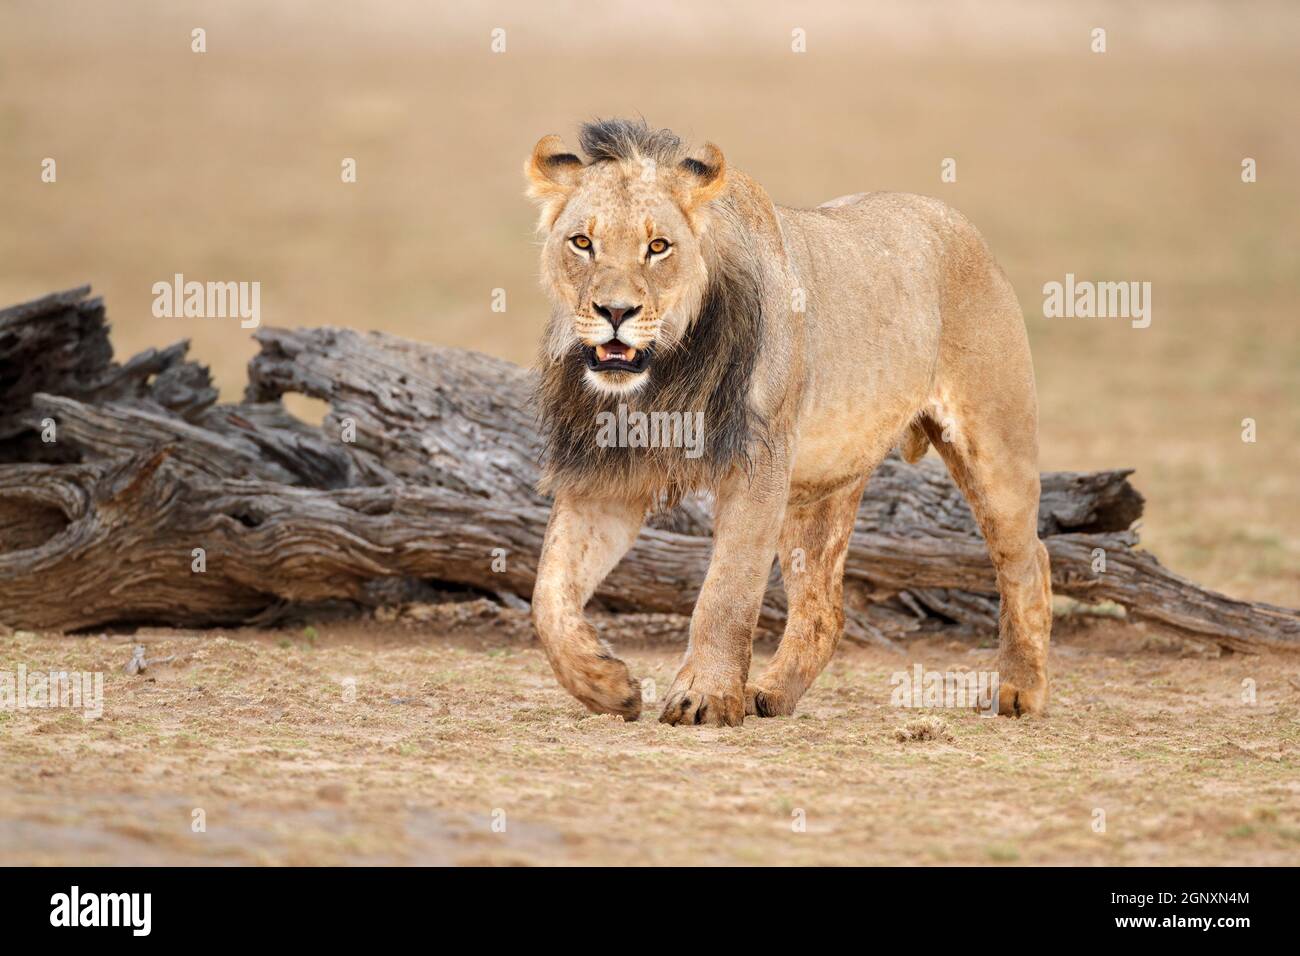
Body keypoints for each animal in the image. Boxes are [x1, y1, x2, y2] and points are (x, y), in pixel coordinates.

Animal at [526, 119, 1052, 726]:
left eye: (658, 247)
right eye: (581, 243)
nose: (615, 313)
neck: (661, 378)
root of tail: (958, 222)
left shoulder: (759, 466)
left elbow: (726, 591)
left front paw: (704, 697)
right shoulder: (605, 479)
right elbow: (548, 596)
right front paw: (605, 685)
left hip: (995, 448)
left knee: (1028, 562)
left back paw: (1019, 691)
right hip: (821, 487)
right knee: (825, 609)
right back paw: (770, 692)